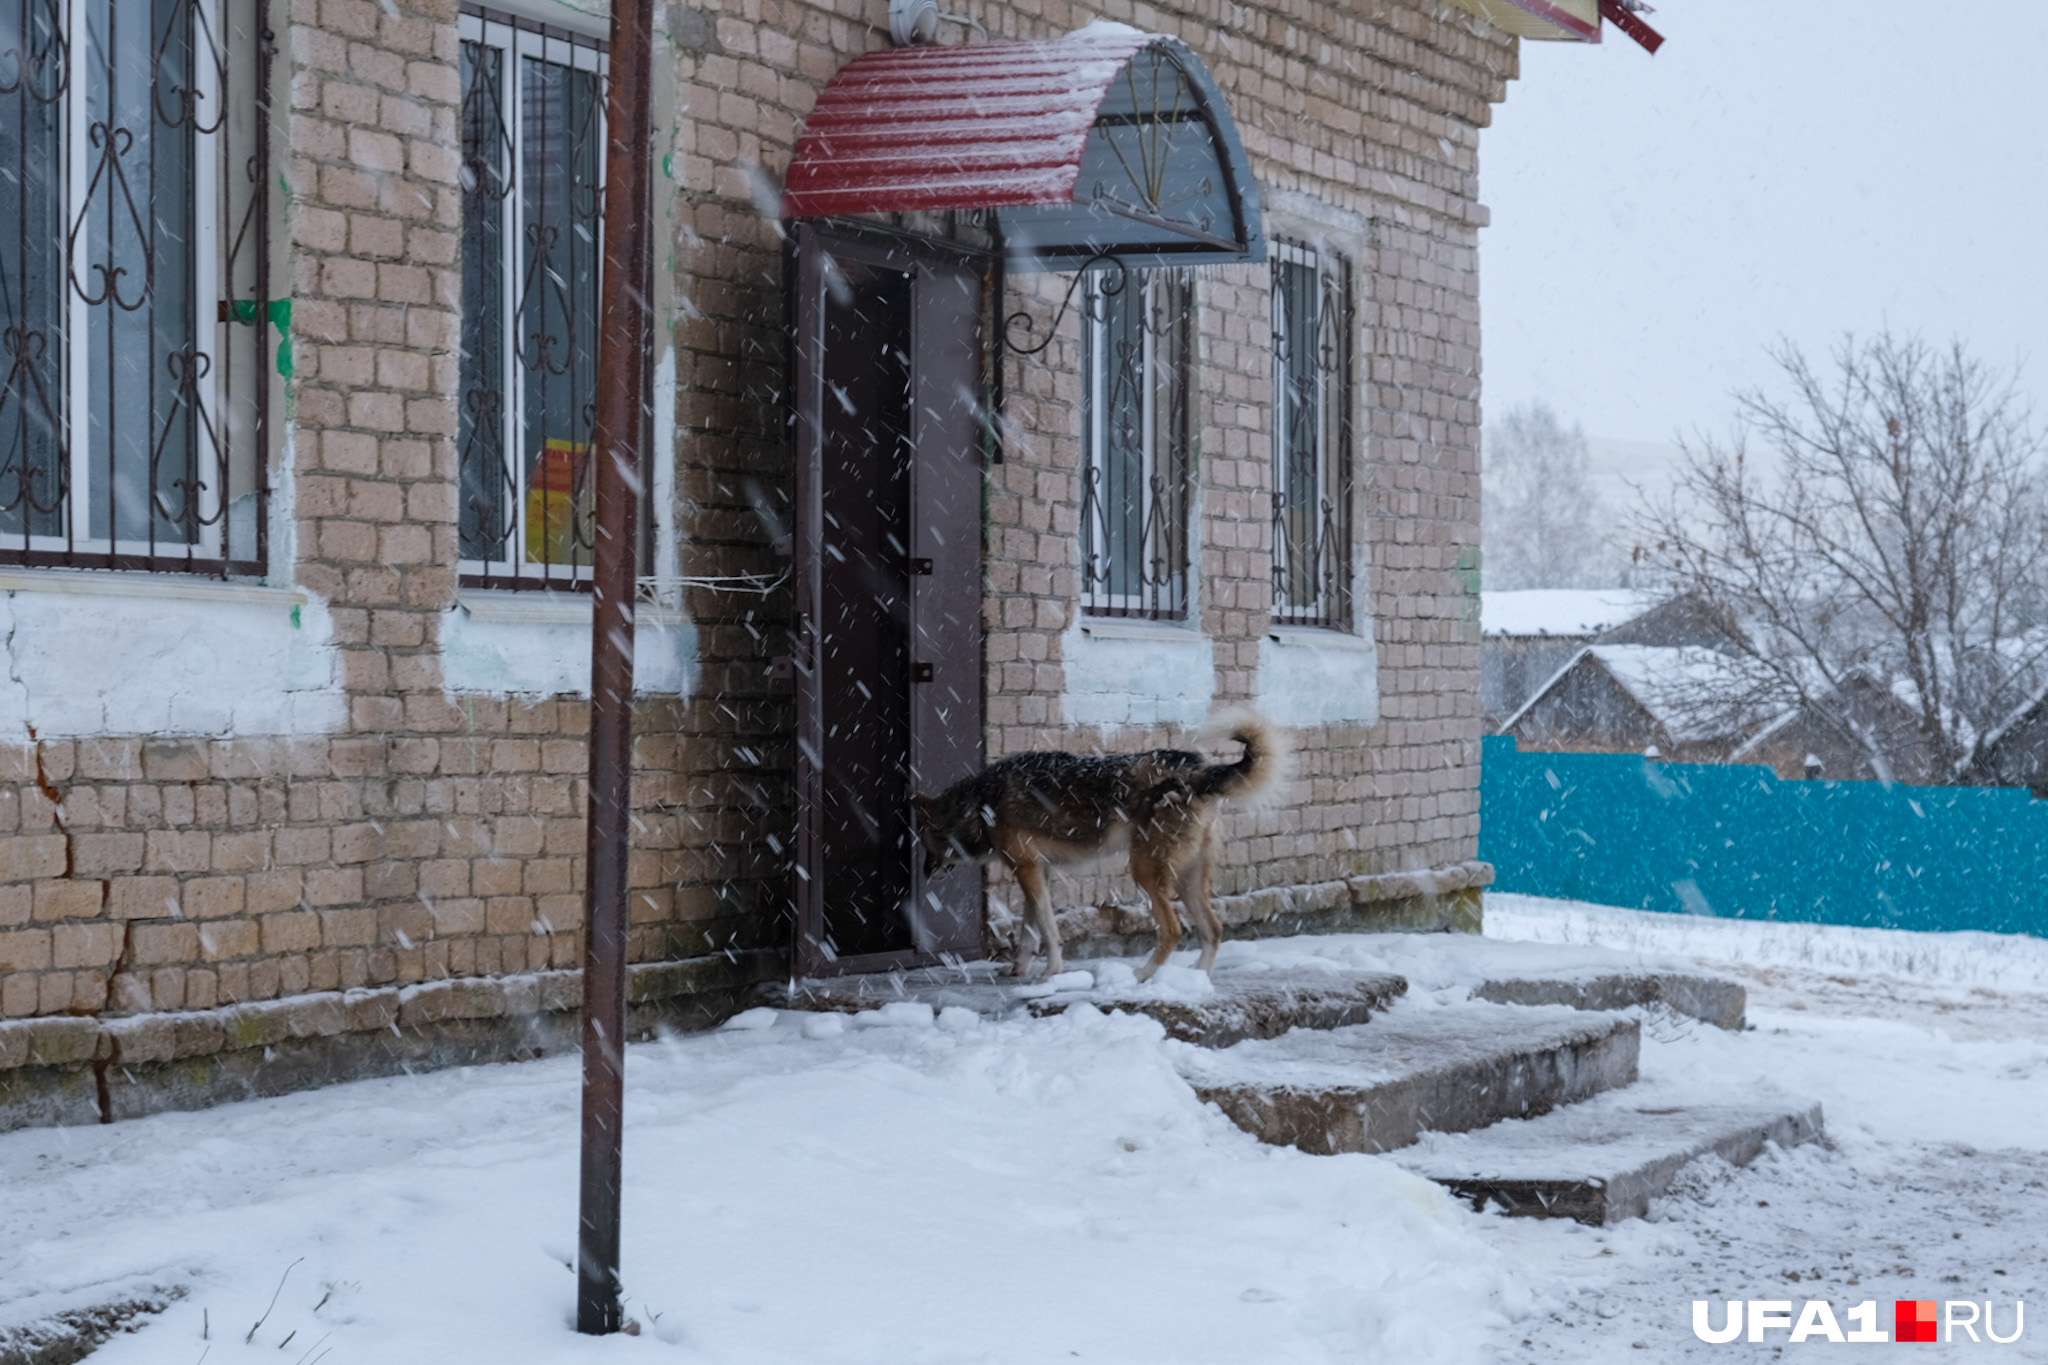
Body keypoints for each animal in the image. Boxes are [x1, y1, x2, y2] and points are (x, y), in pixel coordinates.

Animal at [917, 716, 1286, 982]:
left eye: (922, 842)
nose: (923, 873)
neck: (980, 804)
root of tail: (1197, 769)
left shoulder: (1027, 869)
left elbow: (1048, 930)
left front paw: (1052, 973)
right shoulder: (1037, 871)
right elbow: (1030, 930)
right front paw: (1019, 970)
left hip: (1144, 871)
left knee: (1173, 930)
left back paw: (1142, 976)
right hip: (1187, 879)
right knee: (1213, 930)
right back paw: (1195, 983)